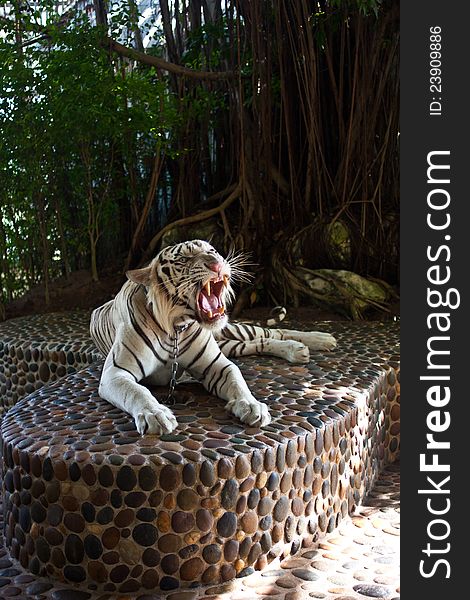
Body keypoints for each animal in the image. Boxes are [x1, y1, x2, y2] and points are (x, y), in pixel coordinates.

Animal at [89, 240, 338, 436]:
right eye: (184, 259)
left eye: (213, 251)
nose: (217, 264)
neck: (176, 328)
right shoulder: (116, 373)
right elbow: (137, 391)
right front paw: (156, 414)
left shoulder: (216, 364)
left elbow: (237, 379)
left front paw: (252, 405)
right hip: (230, 344)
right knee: (257, 342)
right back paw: (299, 350)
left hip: (231, 331)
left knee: (270, 332)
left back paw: (320, 339)